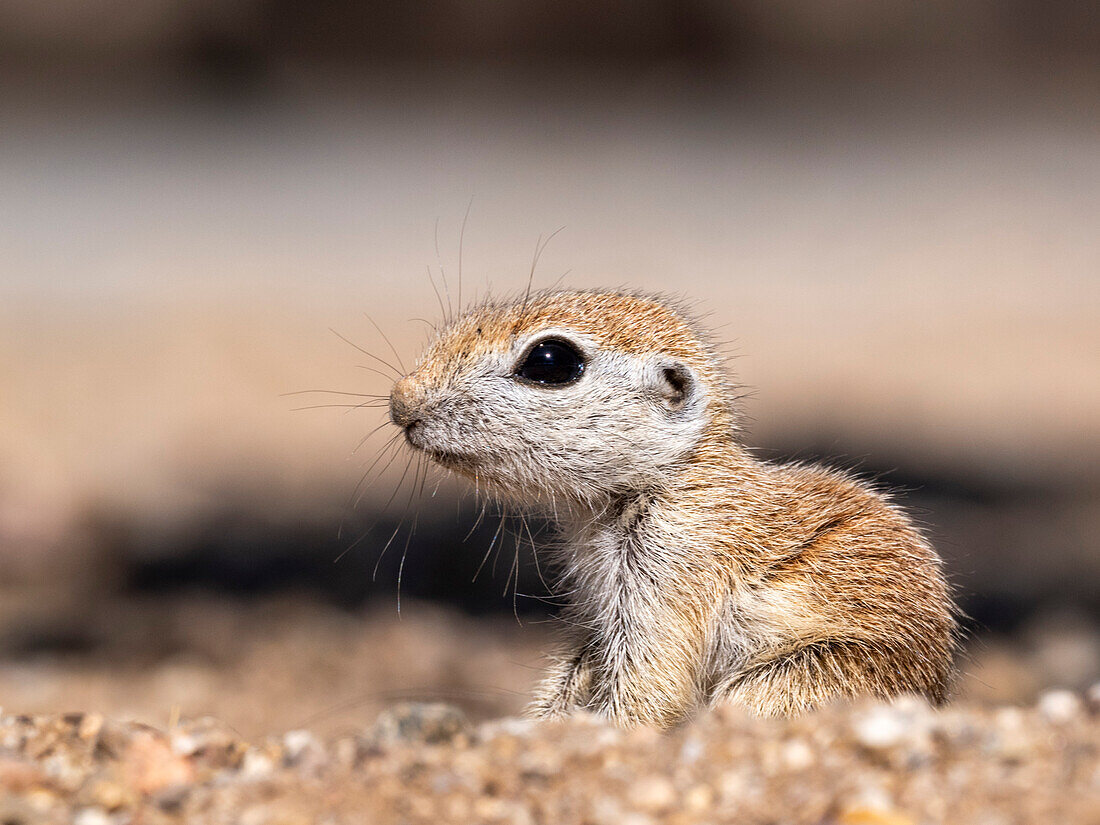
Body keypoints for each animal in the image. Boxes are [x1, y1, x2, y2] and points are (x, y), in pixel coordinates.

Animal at [387, 288, 954, 726]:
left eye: (550, 361)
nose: (400, 401)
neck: (668, 480)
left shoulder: (673, 567)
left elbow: (650, 685)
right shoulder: (595, 608)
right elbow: (572, 670)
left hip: (799, 677)